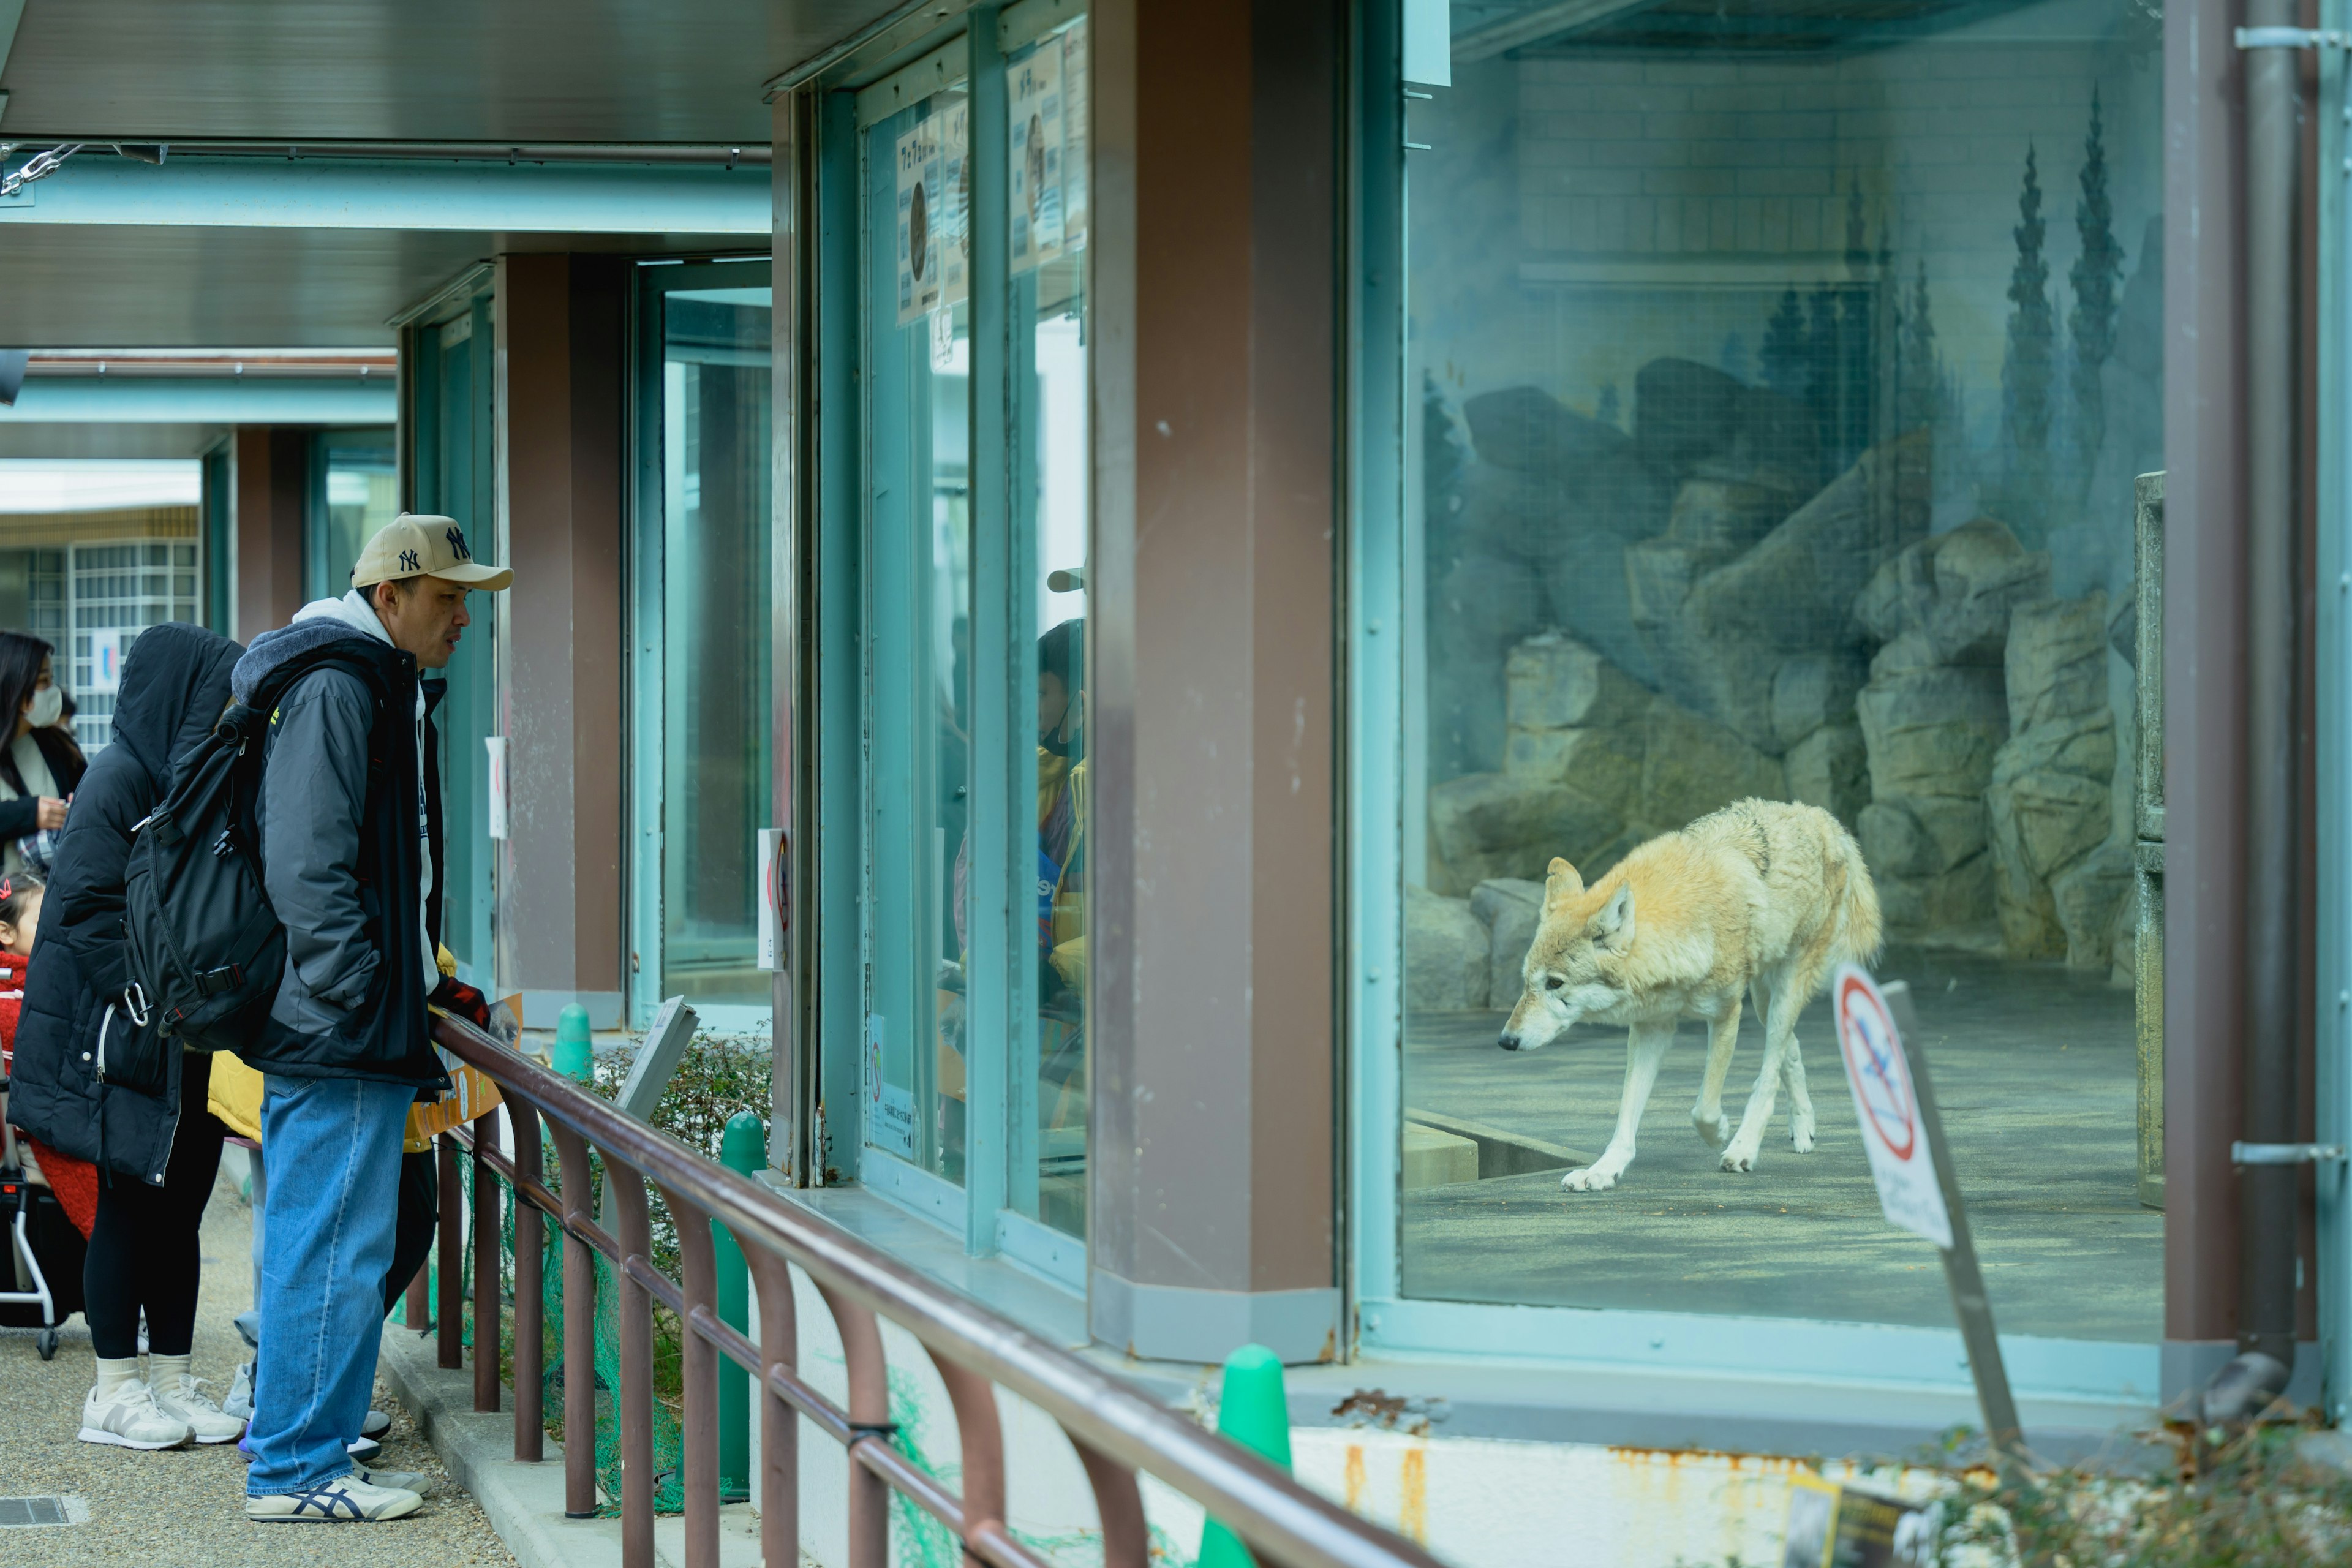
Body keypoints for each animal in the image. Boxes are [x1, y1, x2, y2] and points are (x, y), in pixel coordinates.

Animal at [1496, 799, 1882, 1189]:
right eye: (1528, 982)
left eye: (1555, 983)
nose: (1506, 1041)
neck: (1688, 930)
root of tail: (1821, 817)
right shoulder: (1651, 1027)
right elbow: (1626, 1115)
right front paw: (1603, 1170)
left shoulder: (1727, 1012)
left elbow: (1704, 1109)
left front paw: (1721, 1134)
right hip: (1763, 998)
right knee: (1791, 1048)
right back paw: (1803, 1128)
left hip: (1783, 988)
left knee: (1769, 1071)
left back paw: (1744, 1148)